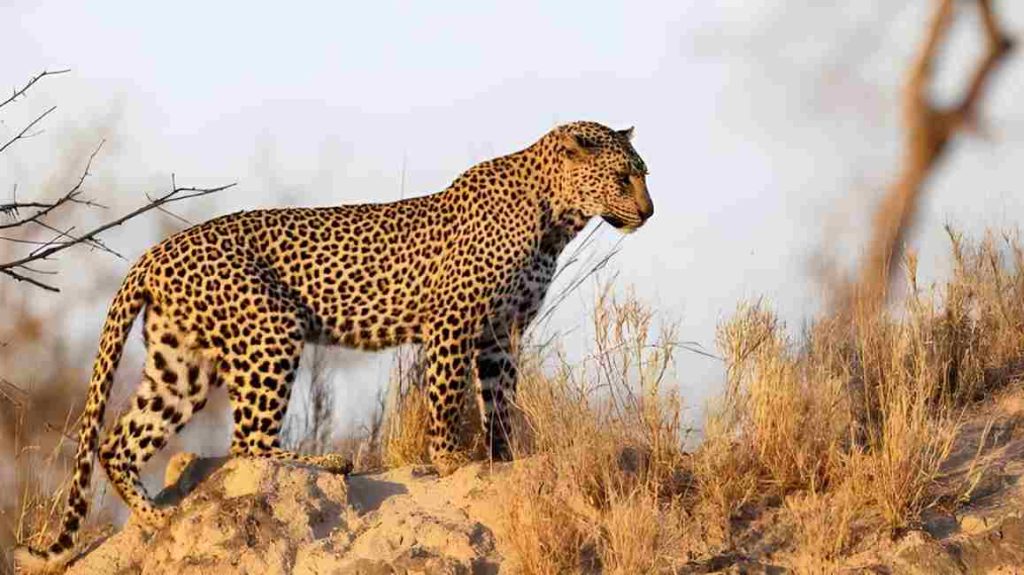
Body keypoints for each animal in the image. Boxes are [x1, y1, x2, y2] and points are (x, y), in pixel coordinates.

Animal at [15, 120, 653, 572]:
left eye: (643, 175)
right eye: (625, 178)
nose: (648, 212)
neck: (555, 218)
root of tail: (154, 252)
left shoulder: (500, 334)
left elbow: (499, 402)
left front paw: (503, 458)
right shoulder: (453, 323)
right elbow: (448, 397)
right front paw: (450, 459)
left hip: (181, 365)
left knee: (120, 441)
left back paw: (157, 523)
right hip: (271, 333)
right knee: (248, 443)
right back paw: (323, 463)